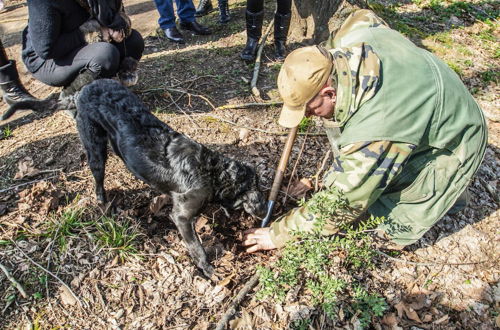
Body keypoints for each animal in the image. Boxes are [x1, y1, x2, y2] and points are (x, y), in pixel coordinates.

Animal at [75, 79, 266, 276]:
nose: (265, 212)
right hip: (95, 147)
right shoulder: (182, 217)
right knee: (98, 181)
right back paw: (104, 204)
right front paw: (208, 269)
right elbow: (197, 247)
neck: (214, 173)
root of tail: (87, 87)